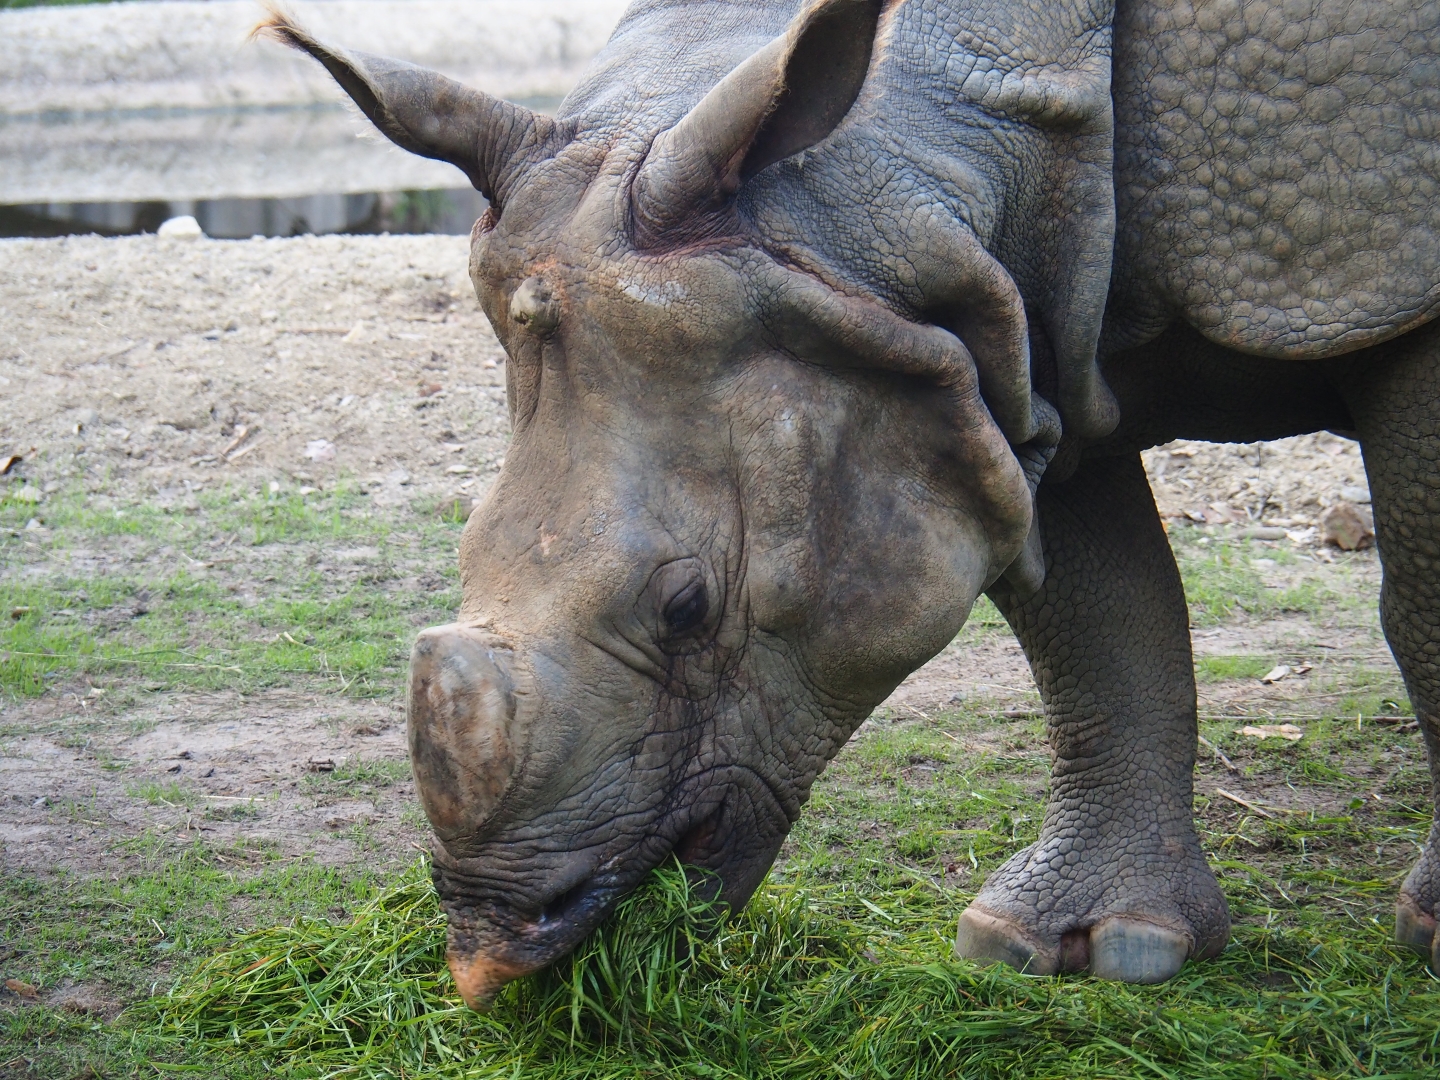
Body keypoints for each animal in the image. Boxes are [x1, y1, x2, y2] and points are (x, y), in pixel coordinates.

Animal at [261, 0, 1440, 1005]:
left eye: (685, 610)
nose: (490, 949)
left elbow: (1421, 605)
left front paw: (1431, 935)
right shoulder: (994, 343)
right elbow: (1097, 620)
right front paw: (1091, 948)